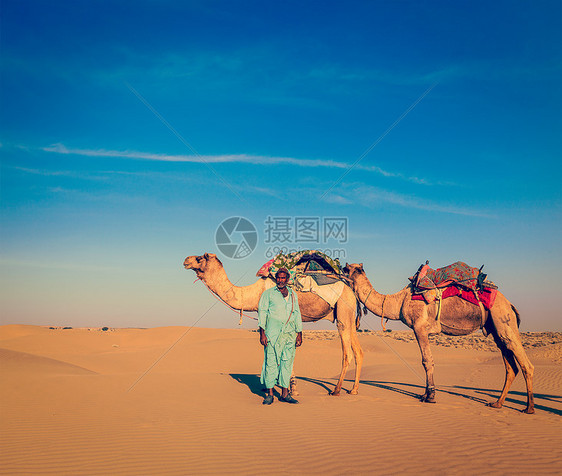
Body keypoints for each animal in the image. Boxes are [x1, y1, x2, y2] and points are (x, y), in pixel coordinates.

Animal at [184, 253, 364, 398]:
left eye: (200, 257)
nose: (186, 260)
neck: (254, 293)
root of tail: (351, 289)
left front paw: (290, 389)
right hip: (347, 316)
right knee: (358, 351)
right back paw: (354, 390)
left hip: (343, 308)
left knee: (347, 353)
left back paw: (336, 390)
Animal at [344, 262, 532, 414]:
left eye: (346, 269)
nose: (338, 272)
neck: (398, 301)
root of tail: (510, 304)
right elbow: (427, 360)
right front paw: (425, 394)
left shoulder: (419, 328)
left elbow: (427, 361)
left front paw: (430, 396)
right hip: (496, 328)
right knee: (510, 366)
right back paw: (497, 403)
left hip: (504, 319)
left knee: (525, 363)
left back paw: (529, 407)